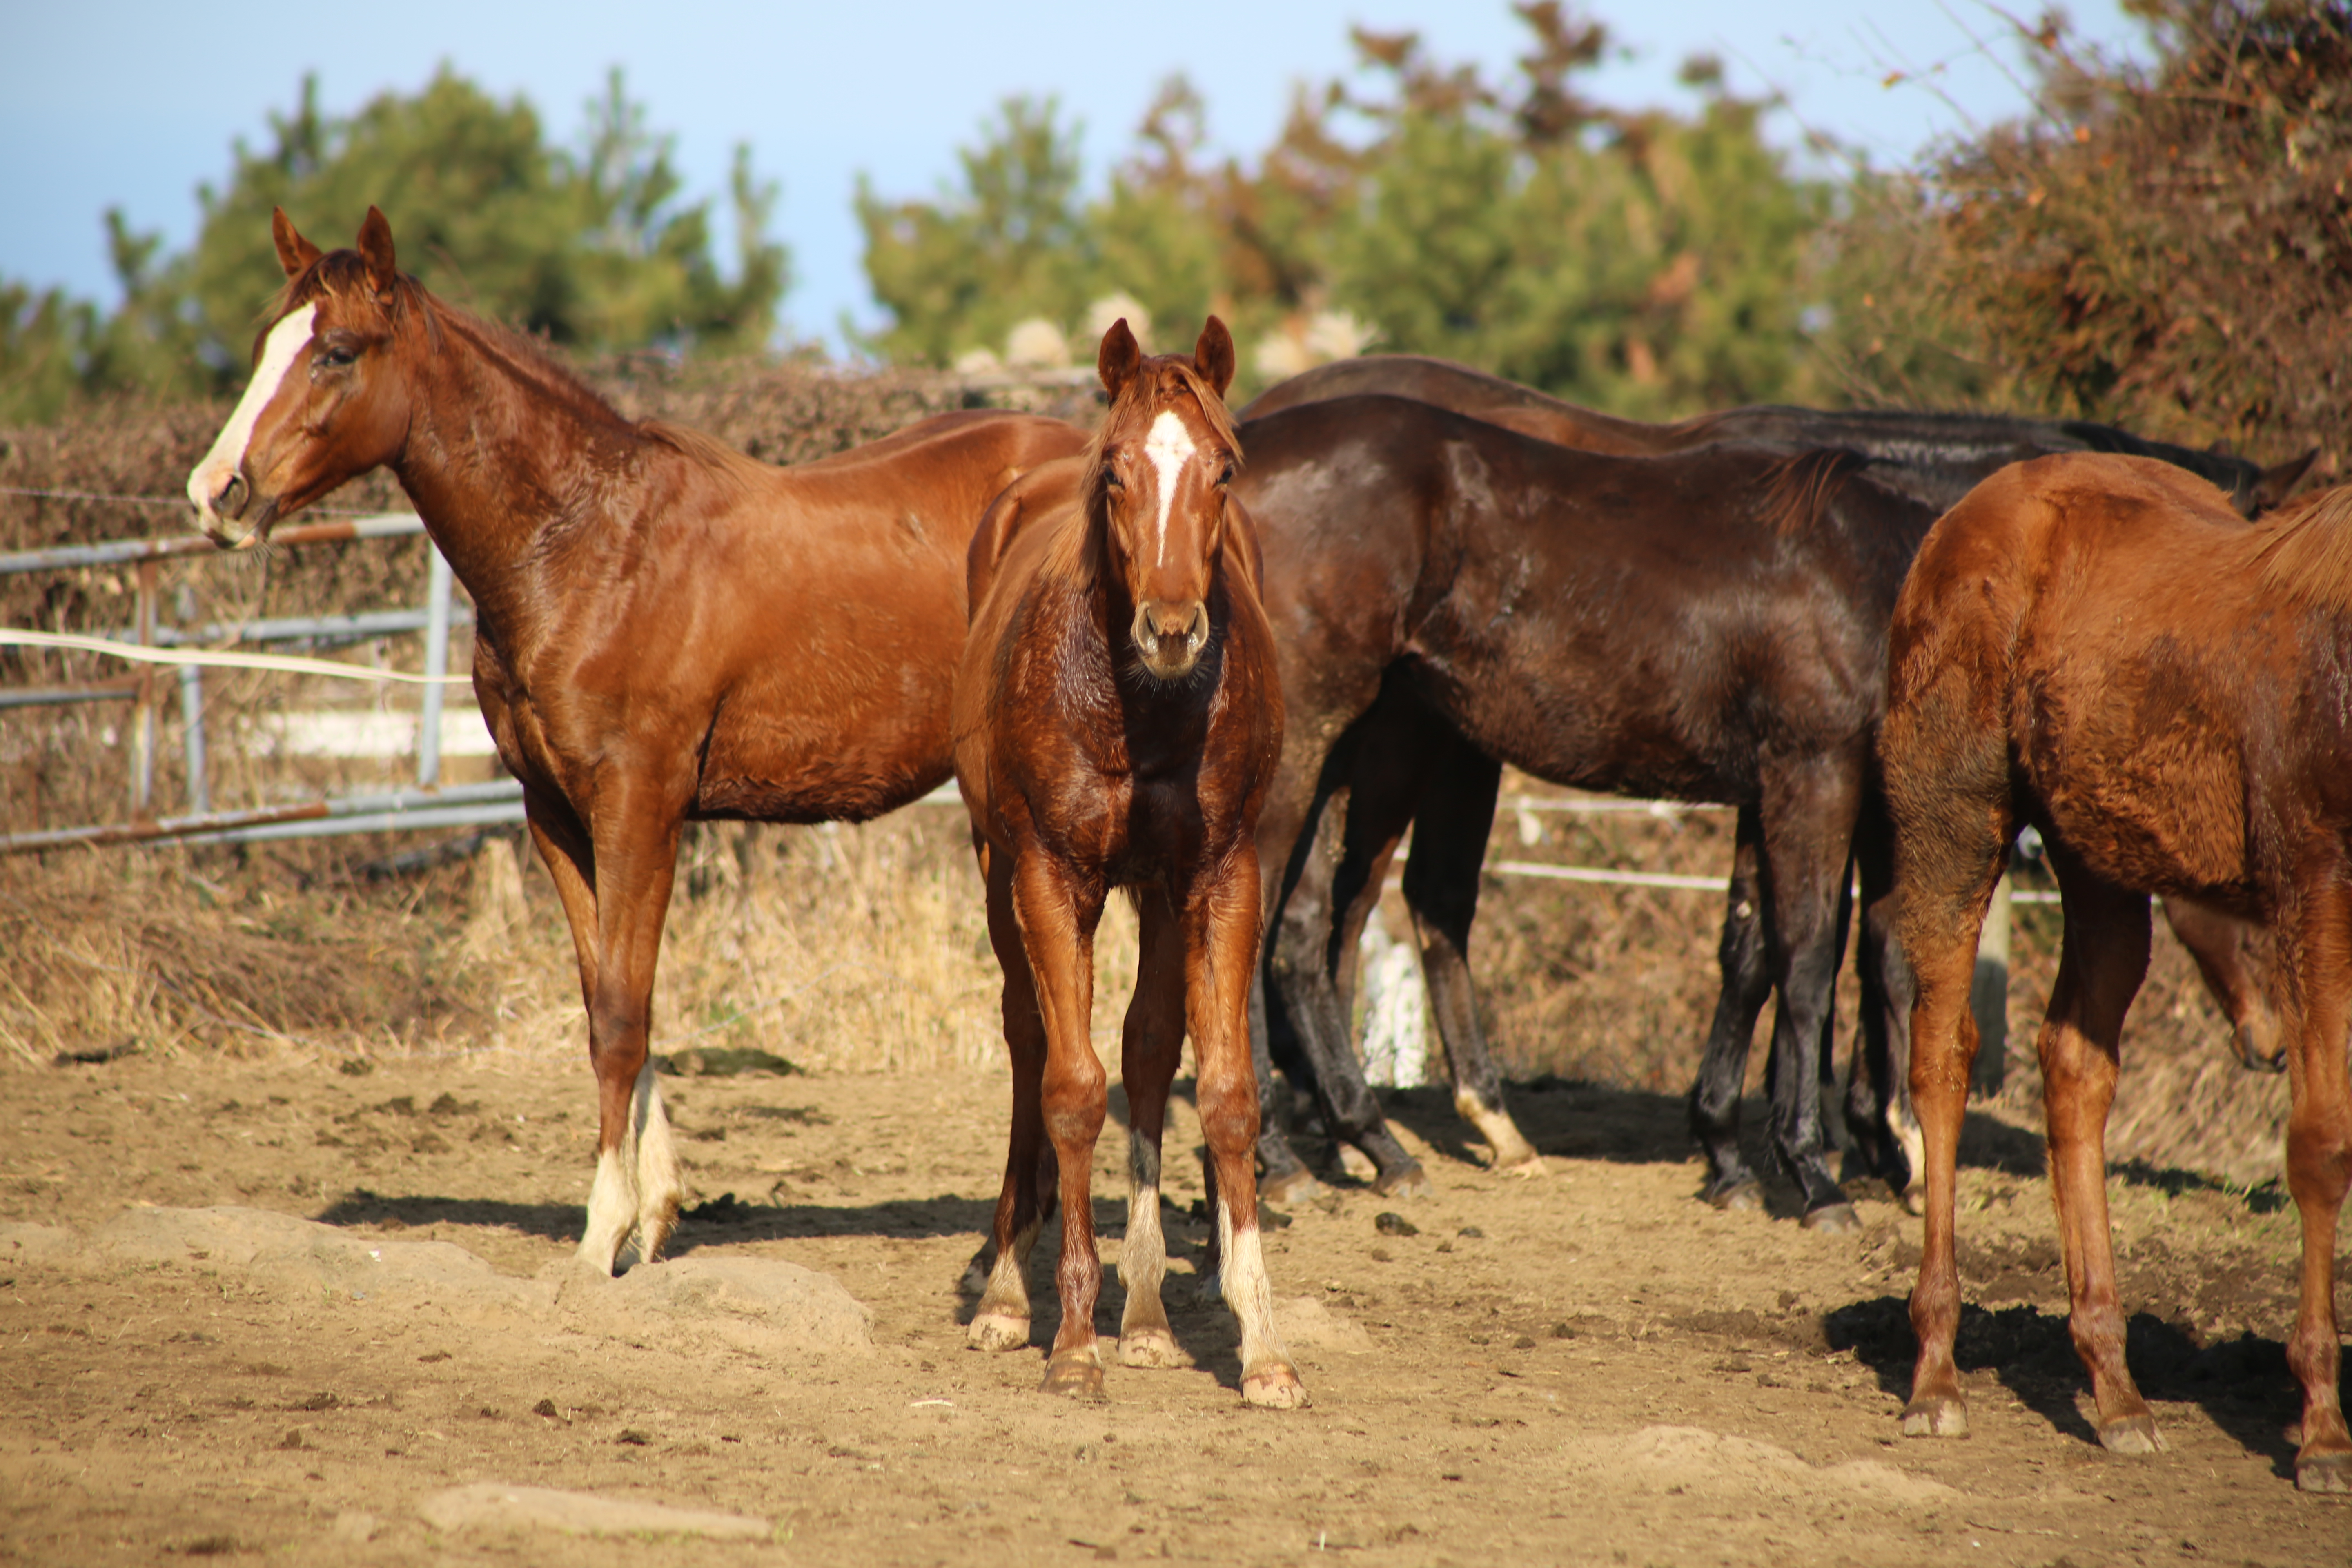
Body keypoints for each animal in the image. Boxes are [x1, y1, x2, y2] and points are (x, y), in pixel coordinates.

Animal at [188, 208, 1087, 1278]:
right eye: (263, 346)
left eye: (335, 351)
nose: (217, 492)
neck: (590, 544)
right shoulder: (557, 815)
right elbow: (608, 1001)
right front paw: (653, 1214)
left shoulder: (641, 807)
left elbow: (621, 1015)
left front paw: (600, 1233)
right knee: (1033, 1015)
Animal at [945, 319, 1298, 1410]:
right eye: (1115, 473)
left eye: (1223, 468)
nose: (1172, 627)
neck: (1140, 709)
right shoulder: (1050, 877)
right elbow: (1070, 1088)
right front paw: (1069, 1342)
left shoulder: (1222, 877)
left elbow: (1222, 1095)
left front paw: (1262, 1348)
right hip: (998, 871)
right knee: (1028, 1041)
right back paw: (1007, 1293)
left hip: (1160, 892)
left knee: (1146, 1045)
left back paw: (1142, 1315)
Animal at [1882, 451, 2352, 1495]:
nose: (2262, 1043)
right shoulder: (2315, 891)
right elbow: (2320, 1145)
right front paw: (2321, 1432)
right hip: (1952, 827)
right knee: (1940, 1060)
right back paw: (1935, 1376)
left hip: (2097, 858)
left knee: (2073, 1068)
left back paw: (2115, 1388)